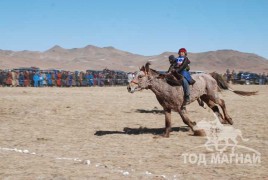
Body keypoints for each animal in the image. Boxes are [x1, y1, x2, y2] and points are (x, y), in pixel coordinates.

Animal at [126, 62, 256, 137]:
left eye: (140, 76)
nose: (129, 87)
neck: (166, 86)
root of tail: (209, 75)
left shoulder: (180, 107)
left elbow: (186, 120)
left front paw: (198, 131)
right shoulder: (167, 108)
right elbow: (167, 123)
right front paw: (165, 135)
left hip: (212, 95)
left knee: (222, 103)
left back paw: (228, 119)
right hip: (205, 97)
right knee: (215, 107)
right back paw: (221, 122)